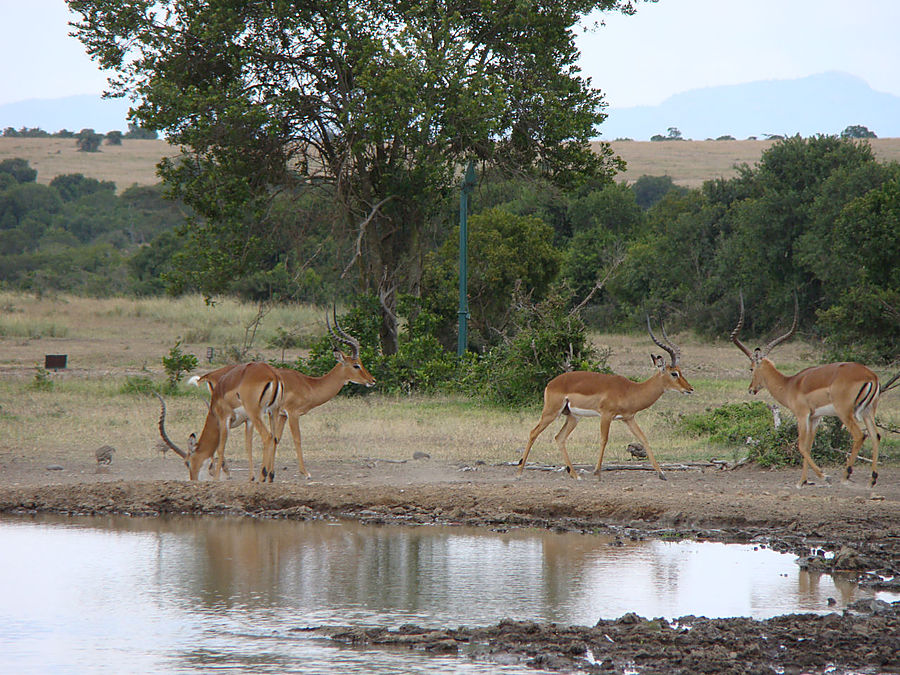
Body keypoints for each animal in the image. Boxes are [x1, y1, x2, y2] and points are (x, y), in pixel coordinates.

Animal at [516, 318, 692, 480]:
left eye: (680, 371)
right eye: (674, 373)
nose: (690, 389)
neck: (631, 390)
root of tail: (551, 383)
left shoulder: (628, 418)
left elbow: (643, 438)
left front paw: (661, 473)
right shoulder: (606, 415)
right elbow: (604, 440)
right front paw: (597, 472)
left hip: (573, 417)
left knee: (559, 438)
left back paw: (575, 474)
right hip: (551, 413)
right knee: (533, 432)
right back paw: (519, 472)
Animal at [732, 294, 880, 488]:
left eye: (751, 368)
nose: (751, 389)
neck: (790, 384)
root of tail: (871, 376)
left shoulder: (802, 416)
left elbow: (801, 446)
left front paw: (824, 477)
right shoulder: (815, 417)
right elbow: (809, 446)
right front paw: (802, 481)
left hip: (845, 413)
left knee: (859, 435)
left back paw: (845, 476)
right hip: (868, 411)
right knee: (876, 436)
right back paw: (872, 479)